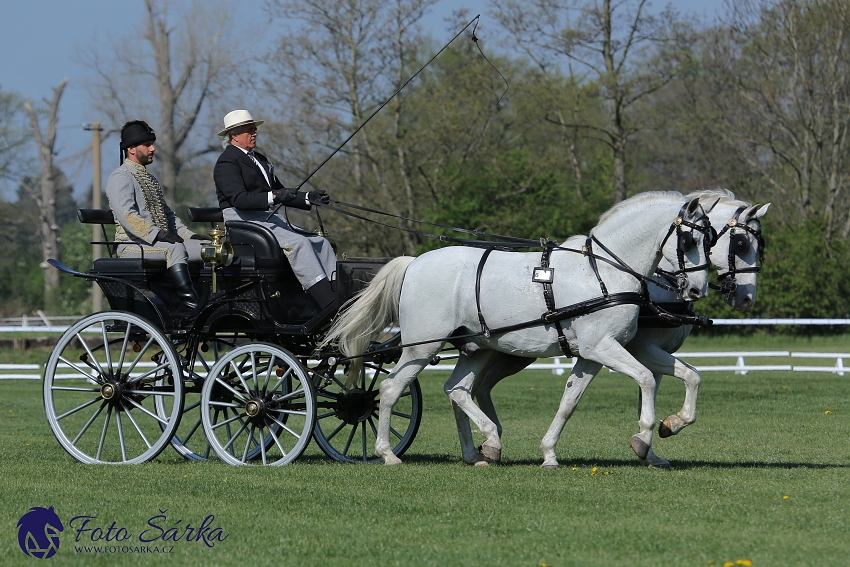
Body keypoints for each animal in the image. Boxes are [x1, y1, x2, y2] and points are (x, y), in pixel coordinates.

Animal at [328, 191, 712, 466]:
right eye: (689, 241)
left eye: (710, 239)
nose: (696, 290)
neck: (603, 271)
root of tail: (415, 263)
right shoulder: (602, 347)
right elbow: (646, 379)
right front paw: (645, 435)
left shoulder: (595, 353)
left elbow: (571, 401)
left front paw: (550, 453)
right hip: (421, 348)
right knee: (392, 388)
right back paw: (389, 453)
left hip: (475, 349)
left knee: (457, 389)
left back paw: (481, 450)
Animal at [470, 189, 768, 468]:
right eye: (741, 244)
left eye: (759, 246)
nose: (746, 298)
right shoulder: (638, 347)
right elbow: (650, 387)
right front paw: (651, 438)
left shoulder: (648, 352)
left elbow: (685, 379)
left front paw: (658, 439)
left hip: (510, 352)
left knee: (478, 388)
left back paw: (483, 446)